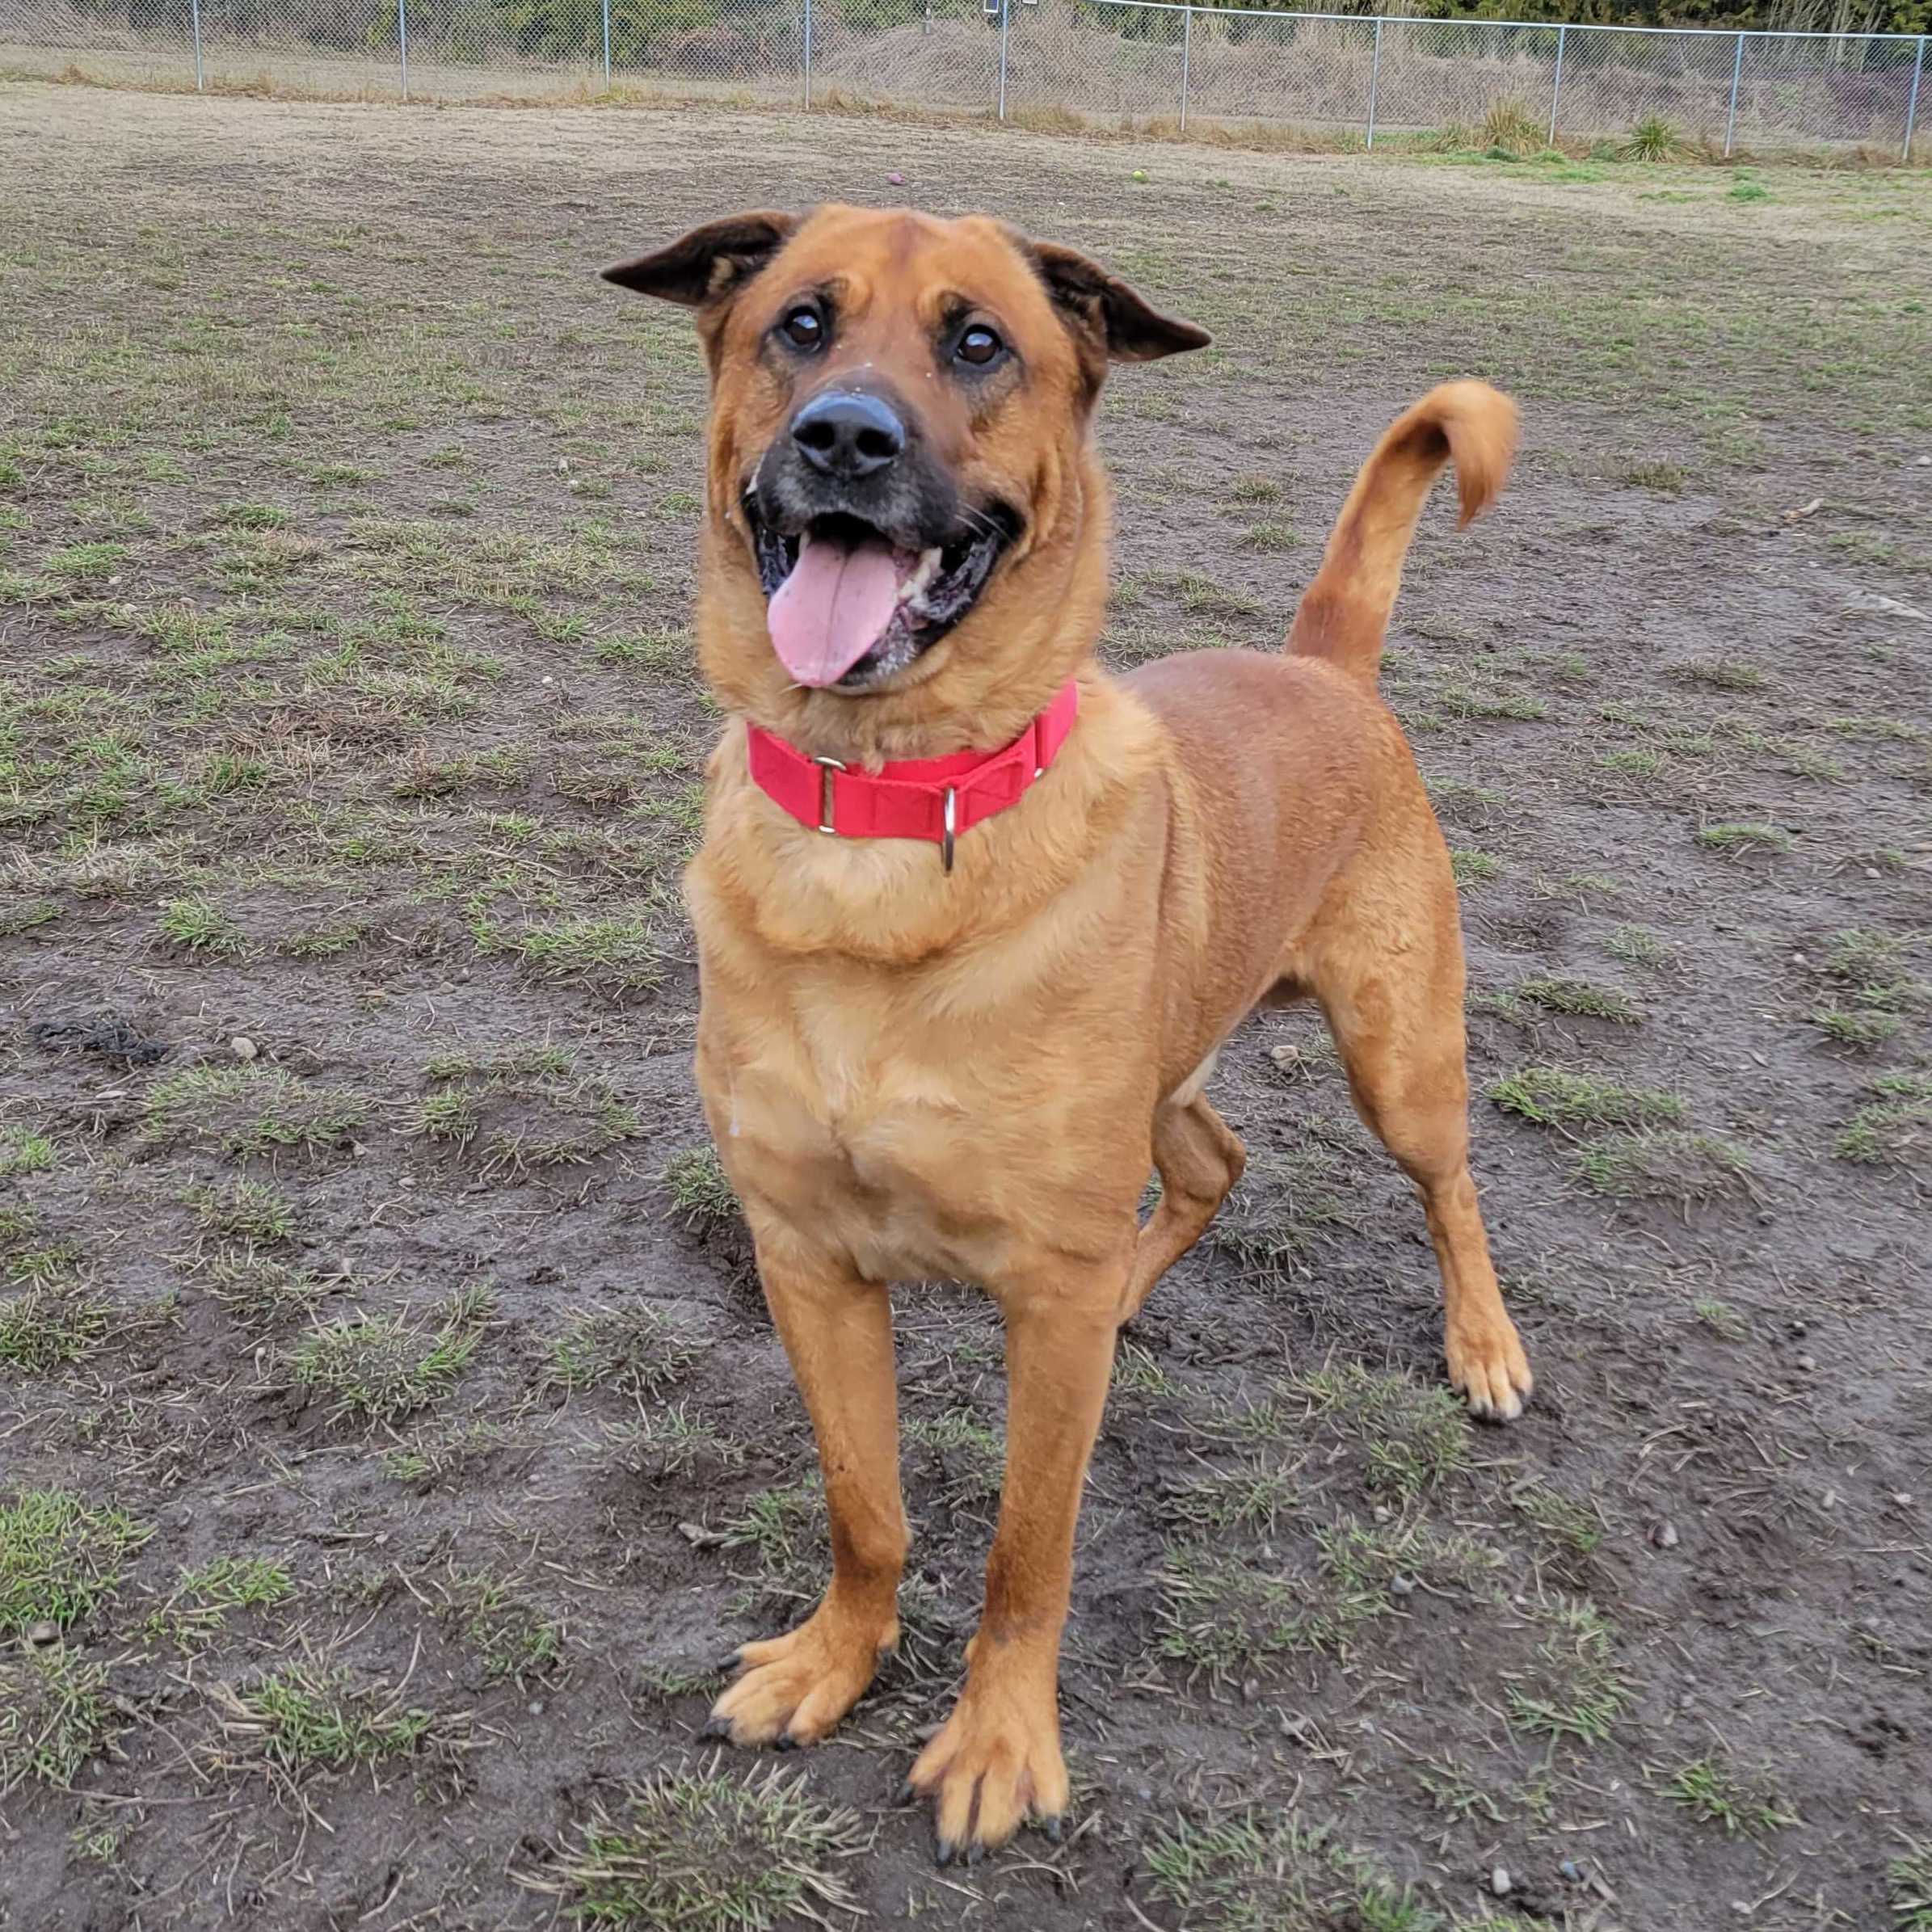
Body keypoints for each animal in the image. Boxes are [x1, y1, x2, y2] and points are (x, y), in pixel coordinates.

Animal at [595, 204, 1530, 1862]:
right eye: (799, 324)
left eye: (980, 344)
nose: (845, 436)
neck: (884, 819)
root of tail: (1320, 664)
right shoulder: (807, 1260)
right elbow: (868, 1506)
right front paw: (837, 1659)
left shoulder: (1042, 1295)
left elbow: (1027, 1551)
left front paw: (997, 1742)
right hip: (1168, 1074)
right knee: (1213, 1161)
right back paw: (1150, 1285)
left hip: (1397, 1055)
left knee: (1448, 1184)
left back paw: (1481, 1341)